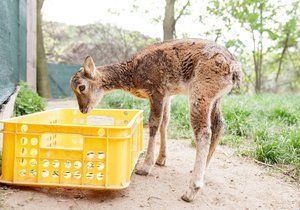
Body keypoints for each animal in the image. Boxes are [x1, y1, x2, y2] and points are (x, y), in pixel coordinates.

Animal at [70, 39, 241, 202]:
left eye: (81, 87)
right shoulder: (168, 94)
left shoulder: (156, 89)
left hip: (201, 90)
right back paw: (201, 170)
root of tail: (235, 69)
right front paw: (161, 159)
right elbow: (164, 122)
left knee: (204, 132)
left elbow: (153, 123)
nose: (83, 109)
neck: (133, 74)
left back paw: (190, 191)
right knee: (219, 125)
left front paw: (145, 167)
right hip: (216, 98)